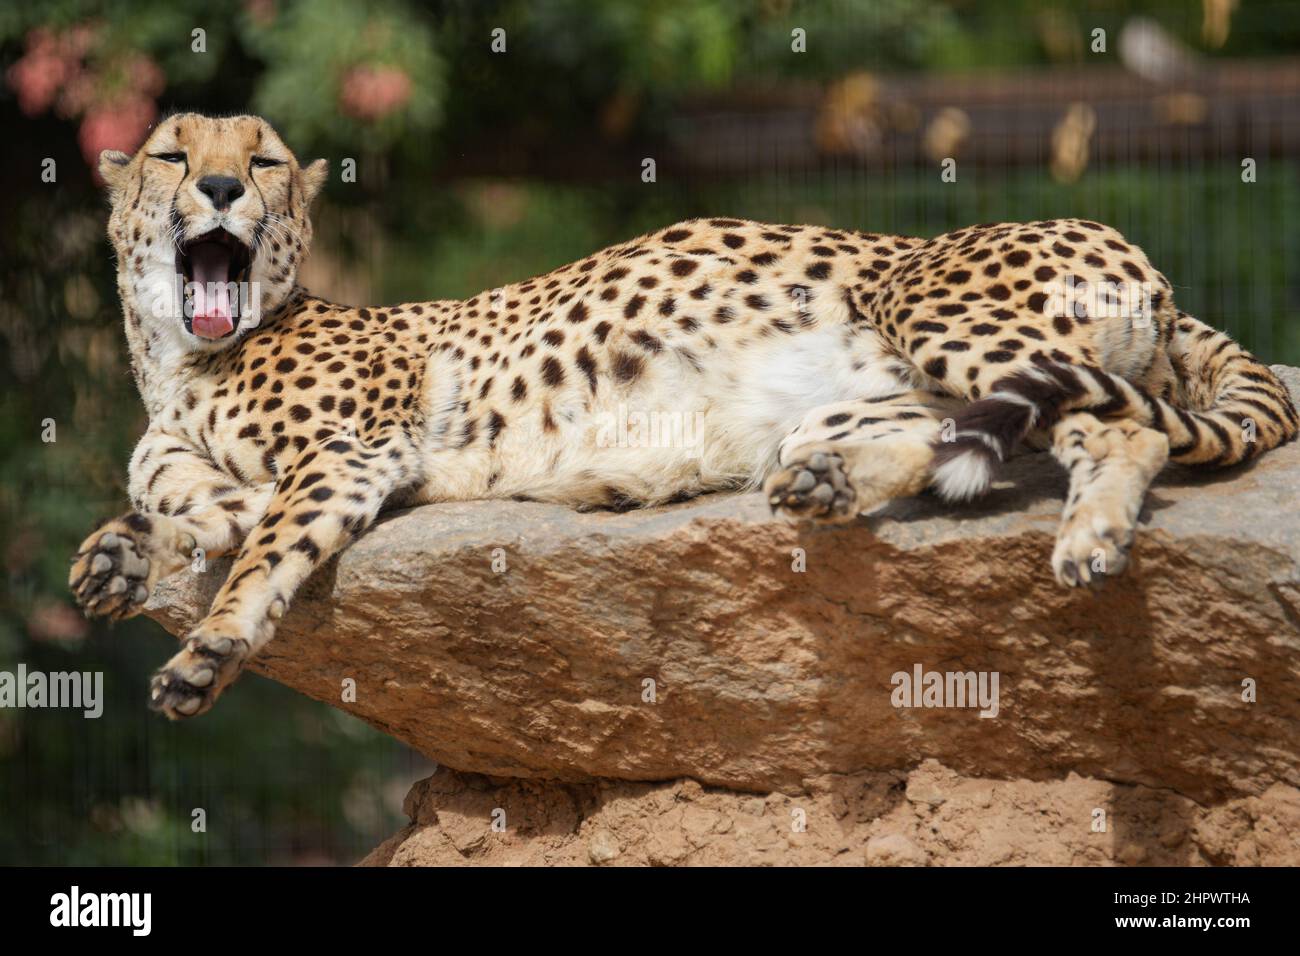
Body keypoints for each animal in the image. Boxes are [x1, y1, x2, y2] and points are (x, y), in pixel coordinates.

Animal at [71, 113, 1300, 717]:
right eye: (178, 152)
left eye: (264, 158)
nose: (221, 189)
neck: (181, 360)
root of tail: (1132, 248)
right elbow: (177, 495)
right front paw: (123, 555)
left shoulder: (353, 452)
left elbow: (260, 538)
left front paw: (209, 643)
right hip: (872, 390)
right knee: (986, 429)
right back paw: (831, 483)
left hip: (933, 303)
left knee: (1119, 423)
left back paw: (1090, 536)